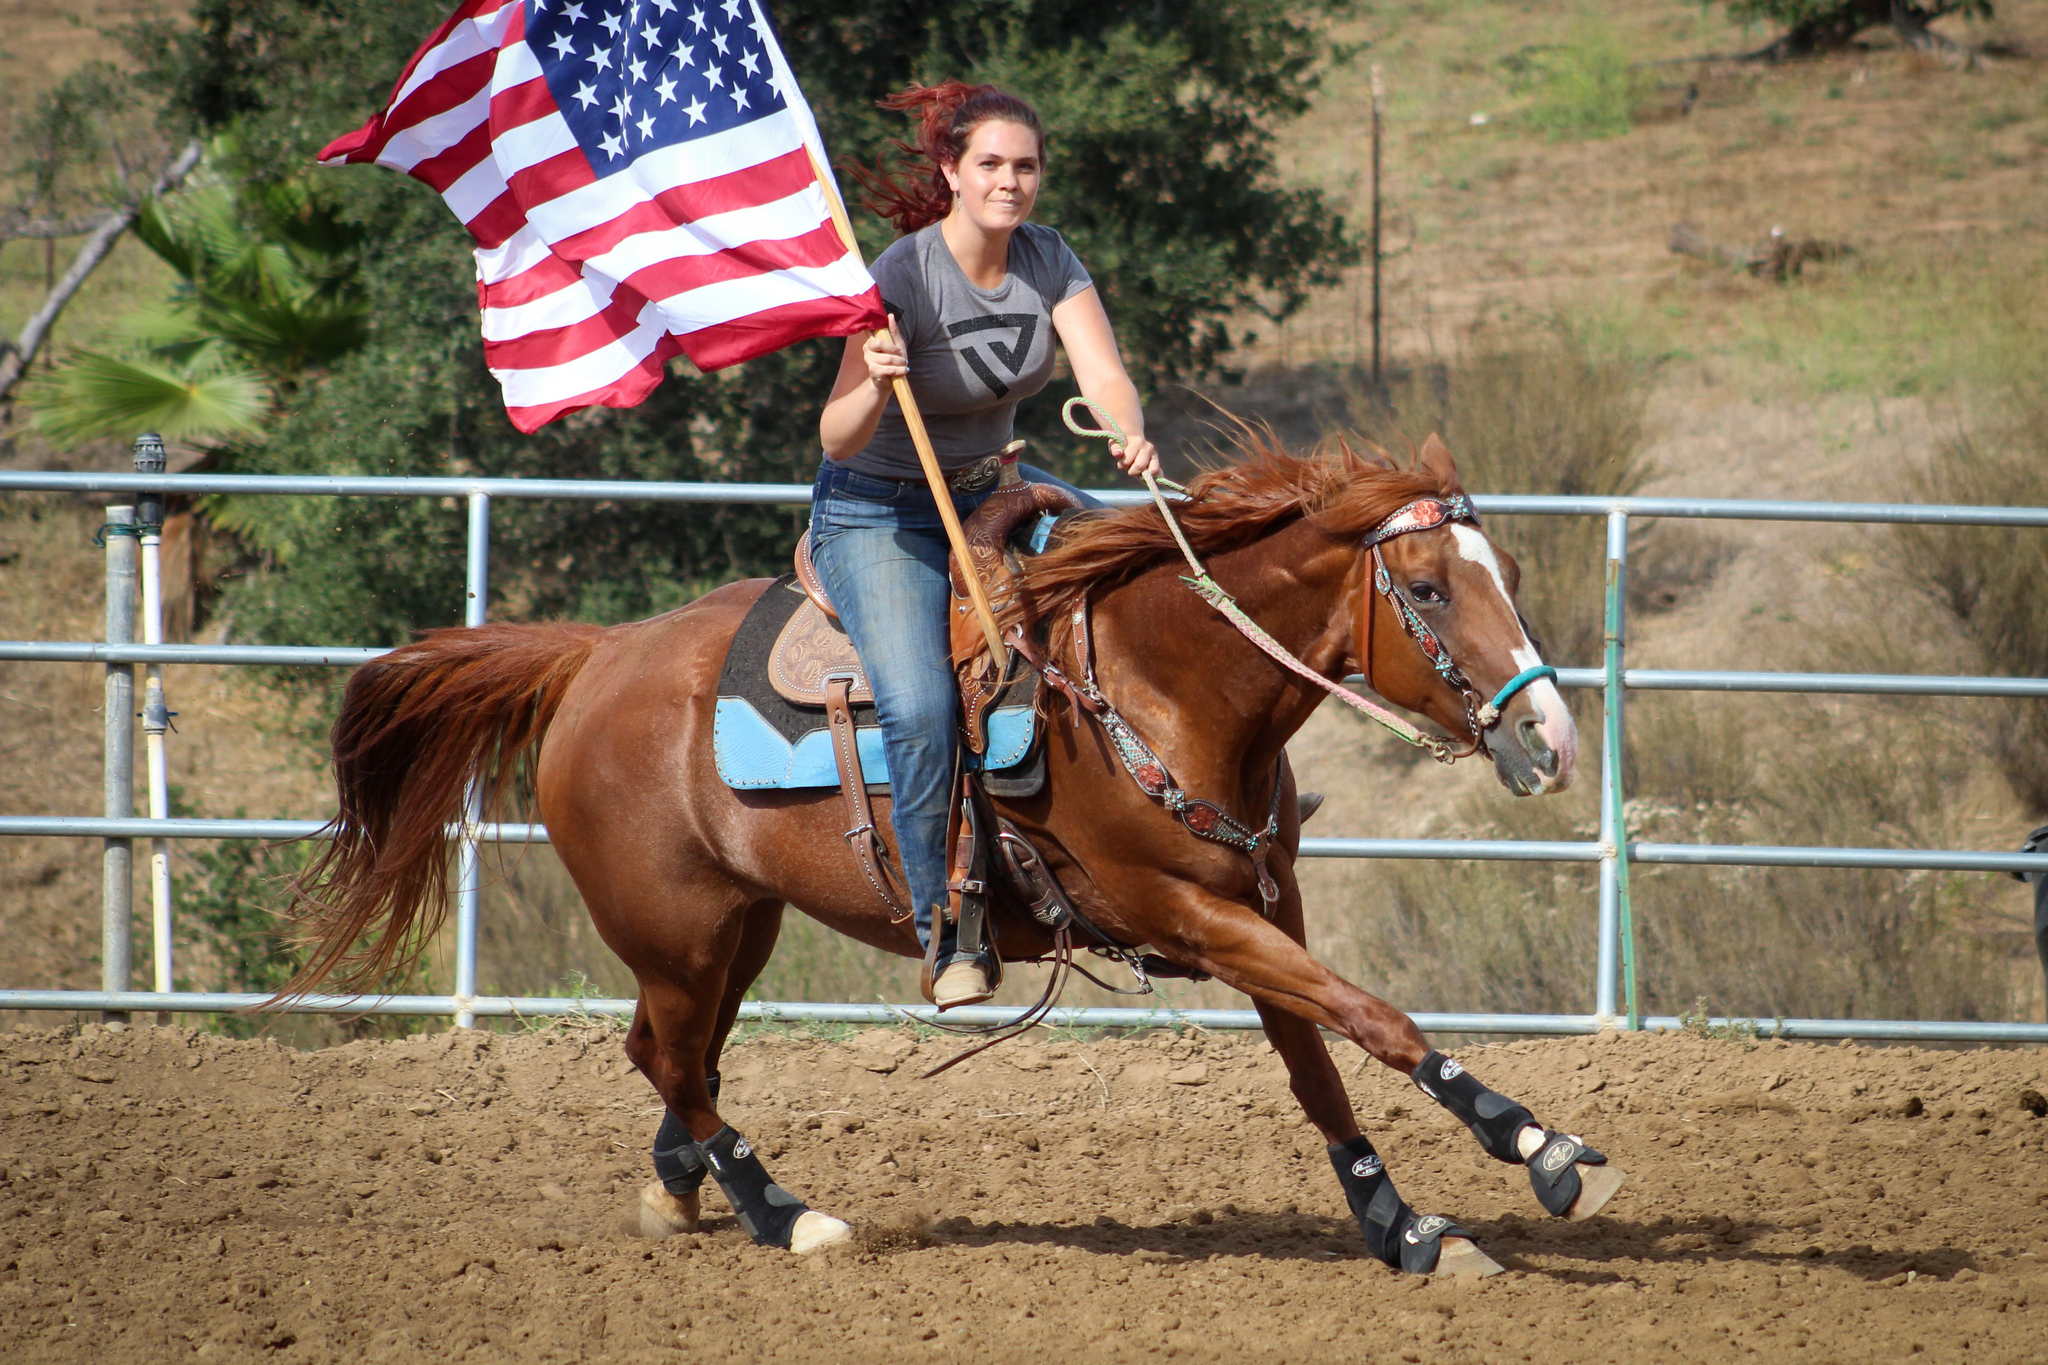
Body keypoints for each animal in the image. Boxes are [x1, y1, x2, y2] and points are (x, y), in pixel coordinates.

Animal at [288, 437, 1622, 1285]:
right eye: (1428, 587)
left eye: (1501, 573)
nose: (1551, 739)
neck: (1157, 684)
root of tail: (594, 656)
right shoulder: (1186, 917)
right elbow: (1376, 1020)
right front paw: (1541, 1151)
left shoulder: (1263, 905)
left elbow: (1320, 1068)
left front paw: (1404, 1228)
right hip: (677, 928)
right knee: (670, 1056)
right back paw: (787, 1217)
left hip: (735, 927)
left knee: (672, 1055)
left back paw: (681, 1189)